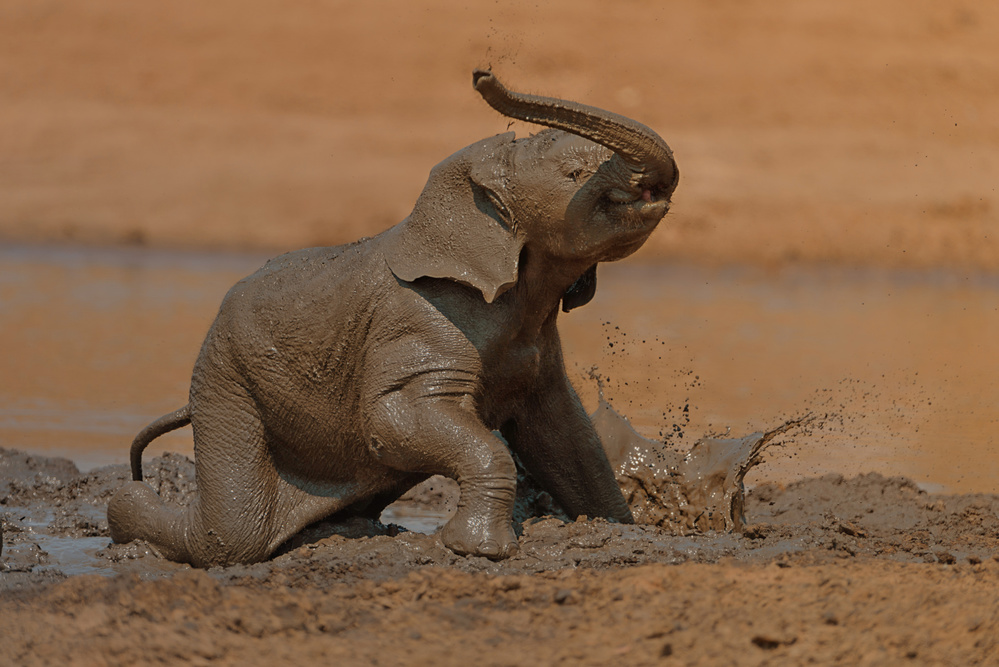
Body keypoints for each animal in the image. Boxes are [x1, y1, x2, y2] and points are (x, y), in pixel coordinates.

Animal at [107, 70, 680, 568]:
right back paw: (128, 513)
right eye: (574, 176)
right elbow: (392, 417)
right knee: (232, 534)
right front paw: (478, 551)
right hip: (226, 380)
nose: (482, 76)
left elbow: (563, 435)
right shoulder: (419, 321)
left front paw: (621, 527)